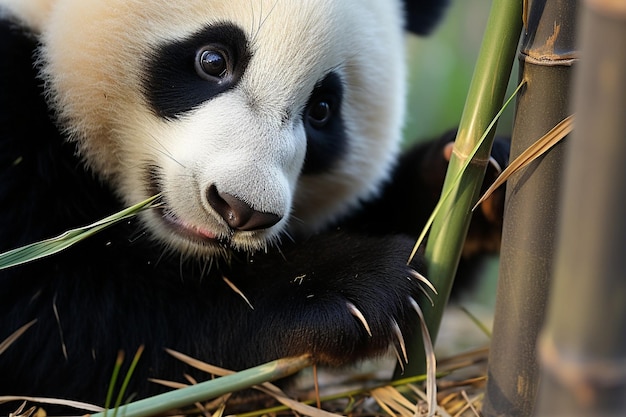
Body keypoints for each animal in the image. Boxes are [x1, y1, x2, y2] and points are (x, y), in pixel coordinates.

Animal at [0, 0, 502, 410]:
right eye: (213, 59)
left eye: (323, 109)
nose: (241, 209)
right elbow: (71, 322)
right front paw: (350, 286)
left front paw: (471, 184)